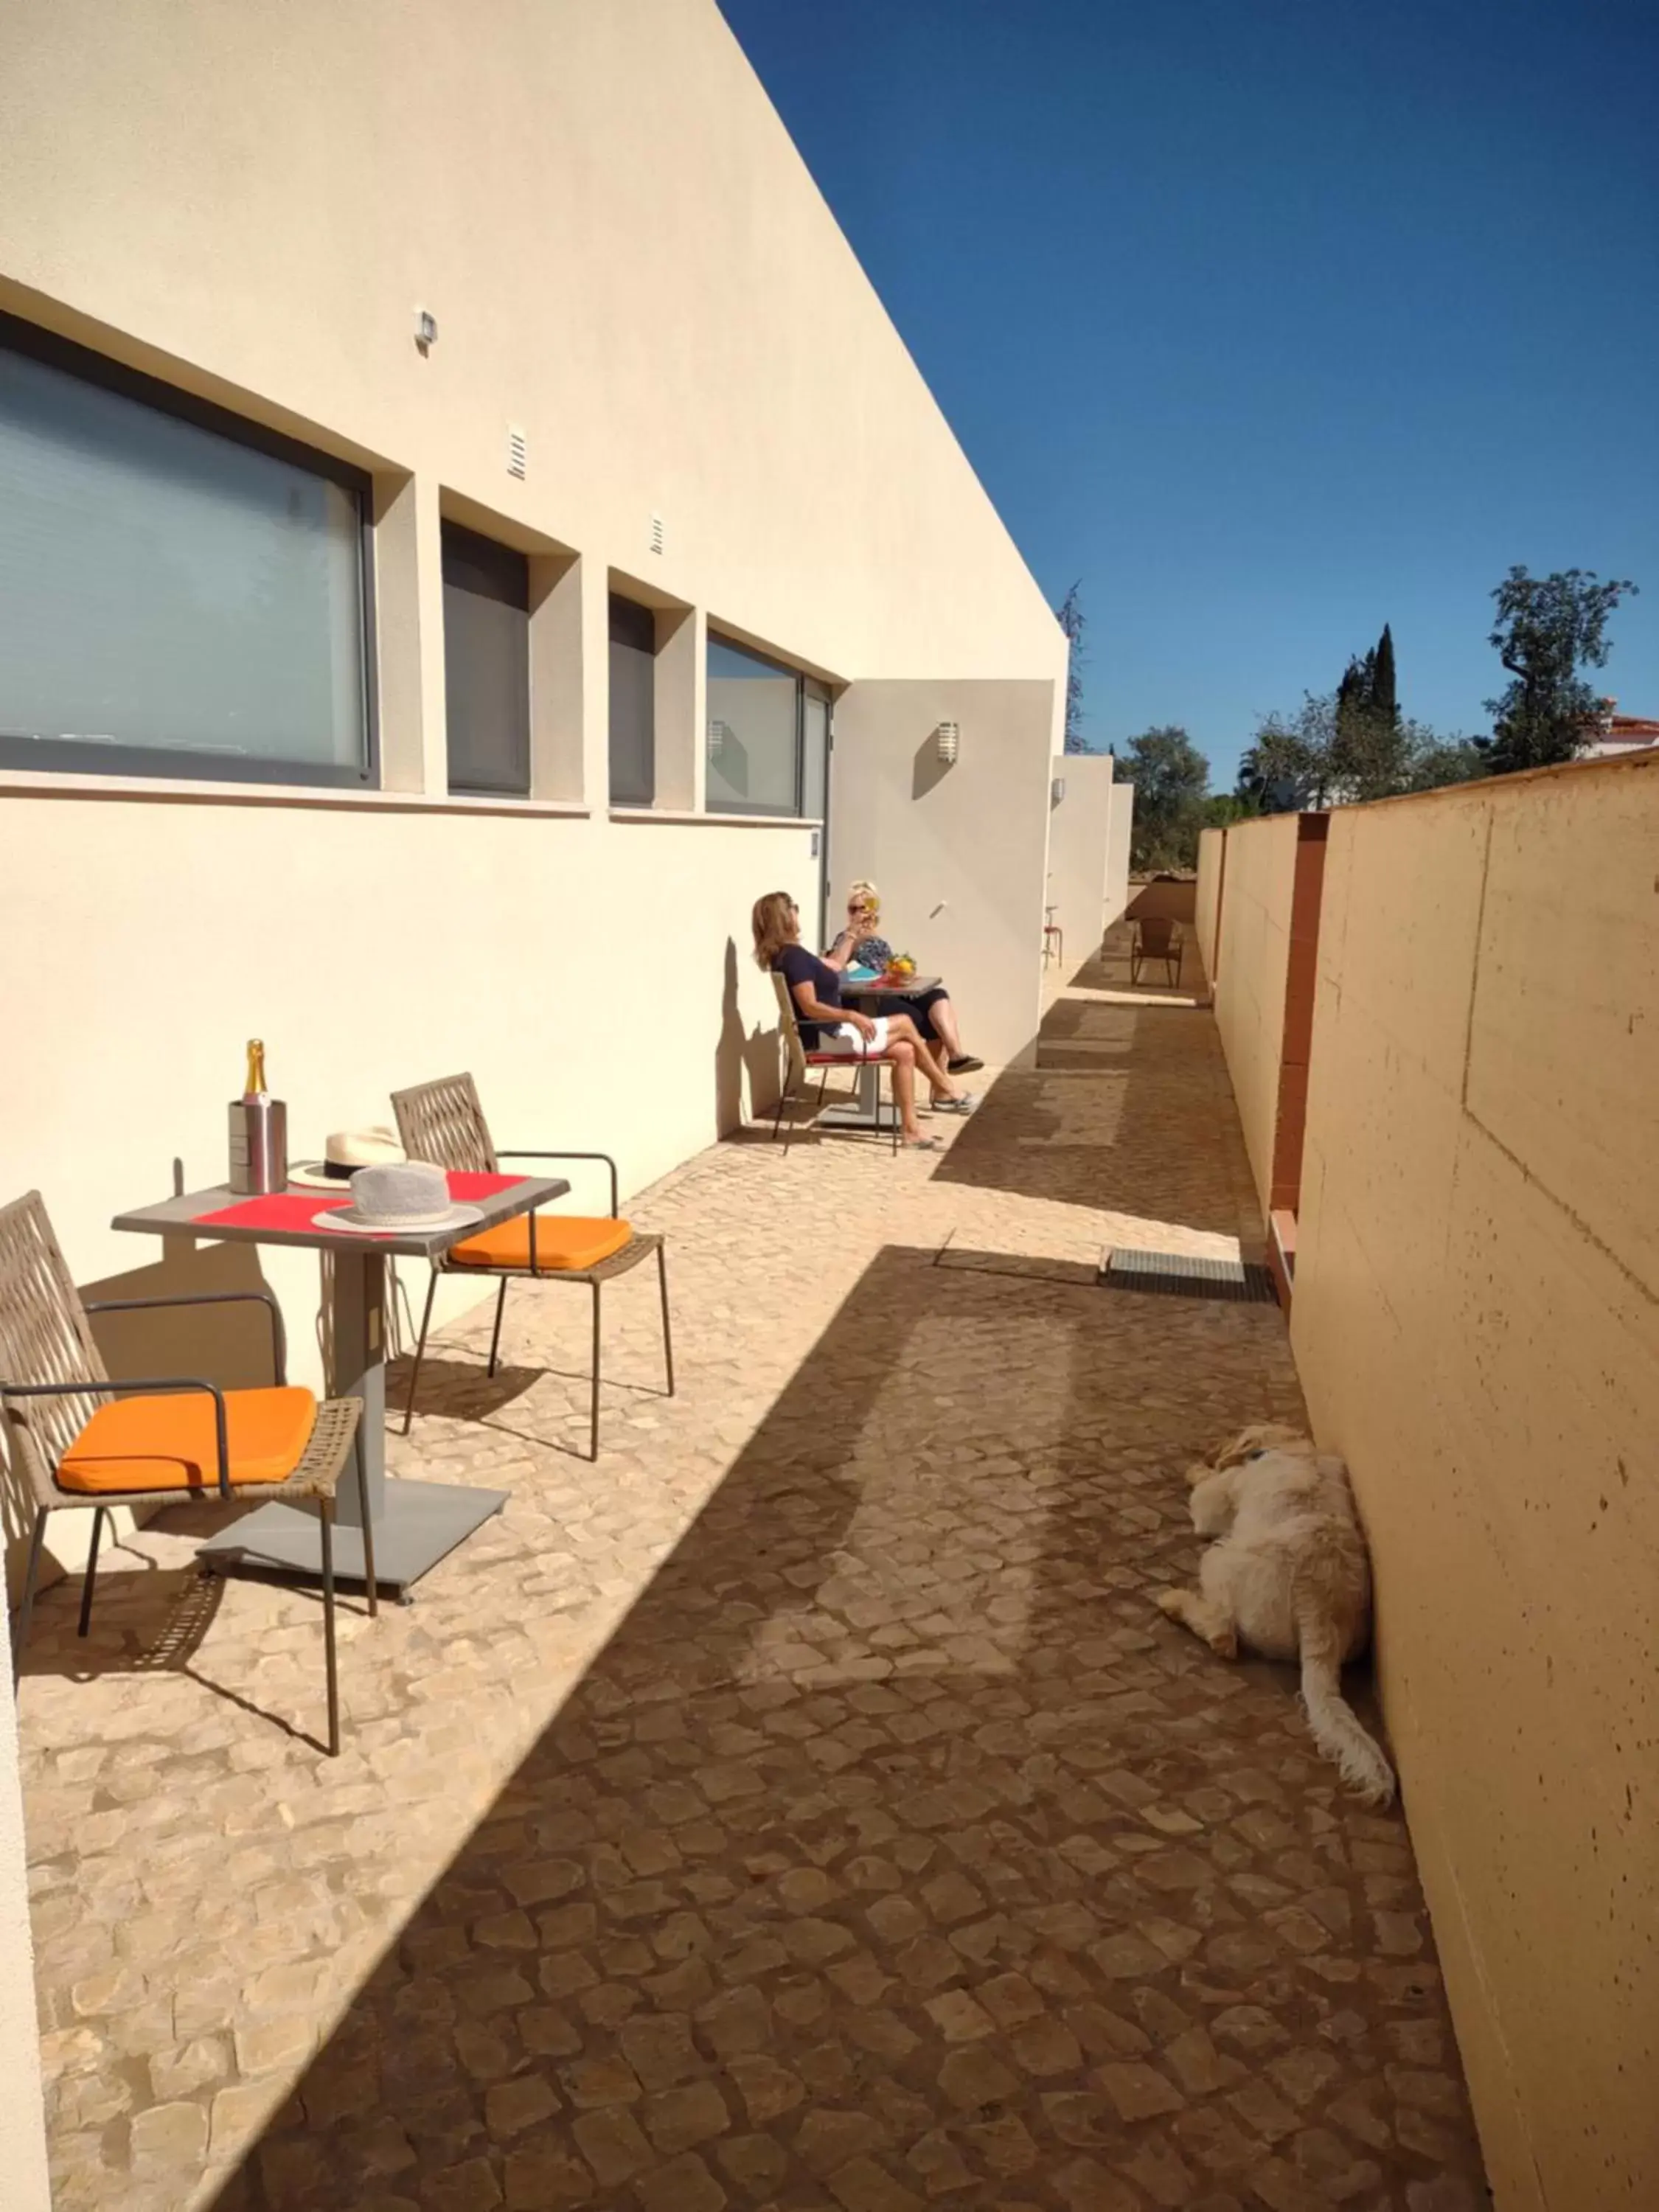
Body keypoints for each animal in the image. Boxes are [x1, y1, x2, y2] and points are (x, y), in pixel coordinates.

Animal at [1159, 1425, 1407, 1805]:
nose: (1210, 1451)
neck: (1290, 1447)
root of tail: (1319, 1605)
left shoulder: (1215, 1500)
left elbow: (1205, 1491)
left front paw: (1197, 1470)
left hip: (1218, 1558)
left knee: (1223, 1632)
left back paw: (1176, 1603)